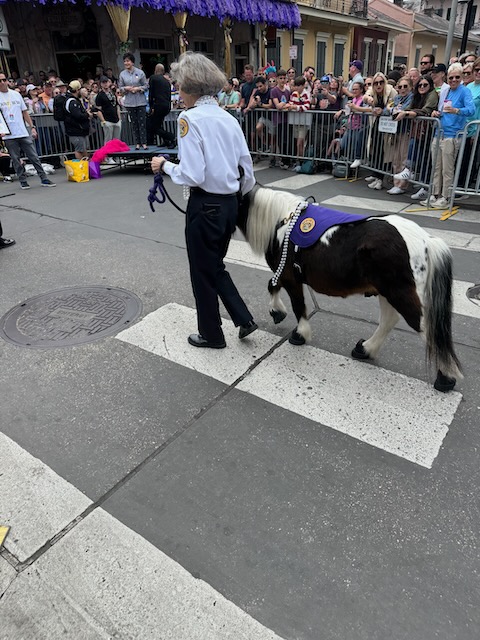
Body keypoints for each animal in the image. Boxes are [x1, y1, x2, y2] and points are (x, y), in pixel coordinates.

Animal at [236, 185, 462, 392]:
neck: (283, 222)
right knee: (389, 320)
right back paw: (366, 349)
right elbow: (272, 285)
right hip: (388, 291)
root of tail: (426, 241)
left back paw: (446, 376)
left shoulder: (290, 277)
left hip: (399, 293)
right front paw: (277, 312)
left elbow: (297, 305)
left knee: (425, 328)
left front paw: (299, 333)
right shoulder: (285, 275)